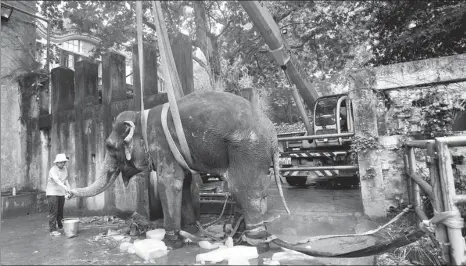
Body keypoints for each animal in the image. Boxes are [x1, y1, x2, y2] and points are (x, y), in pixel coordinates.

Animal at [68, 90, 290, 250]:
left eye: (109, 147)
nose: (68, 192)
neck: (142, 115)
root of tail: (273, 136)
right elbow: (184, 182)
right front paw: (190, 229)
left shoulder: (161, 143)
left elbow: (169, 183)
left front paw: (171, 241)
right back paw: (238, 236)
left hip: (247, 149)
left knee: (242, 188)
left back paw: (256, 243)